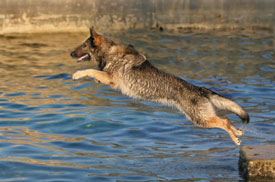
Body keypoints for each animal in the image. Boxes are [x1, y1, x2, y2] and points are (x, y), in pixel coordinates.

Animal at [70, 27, 250, 146]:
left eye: (83, 46)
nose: (71, 53)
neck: (109, 51)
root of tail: (199, 89)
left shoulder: (112, 79)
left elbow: (90, 70)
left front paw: (77, 74)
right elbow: (95, 72)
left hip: (200, 119)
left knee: (224, 121)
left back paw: (235, 137)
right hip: (203, 117)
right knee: (226, 119)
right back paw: (237, 132)